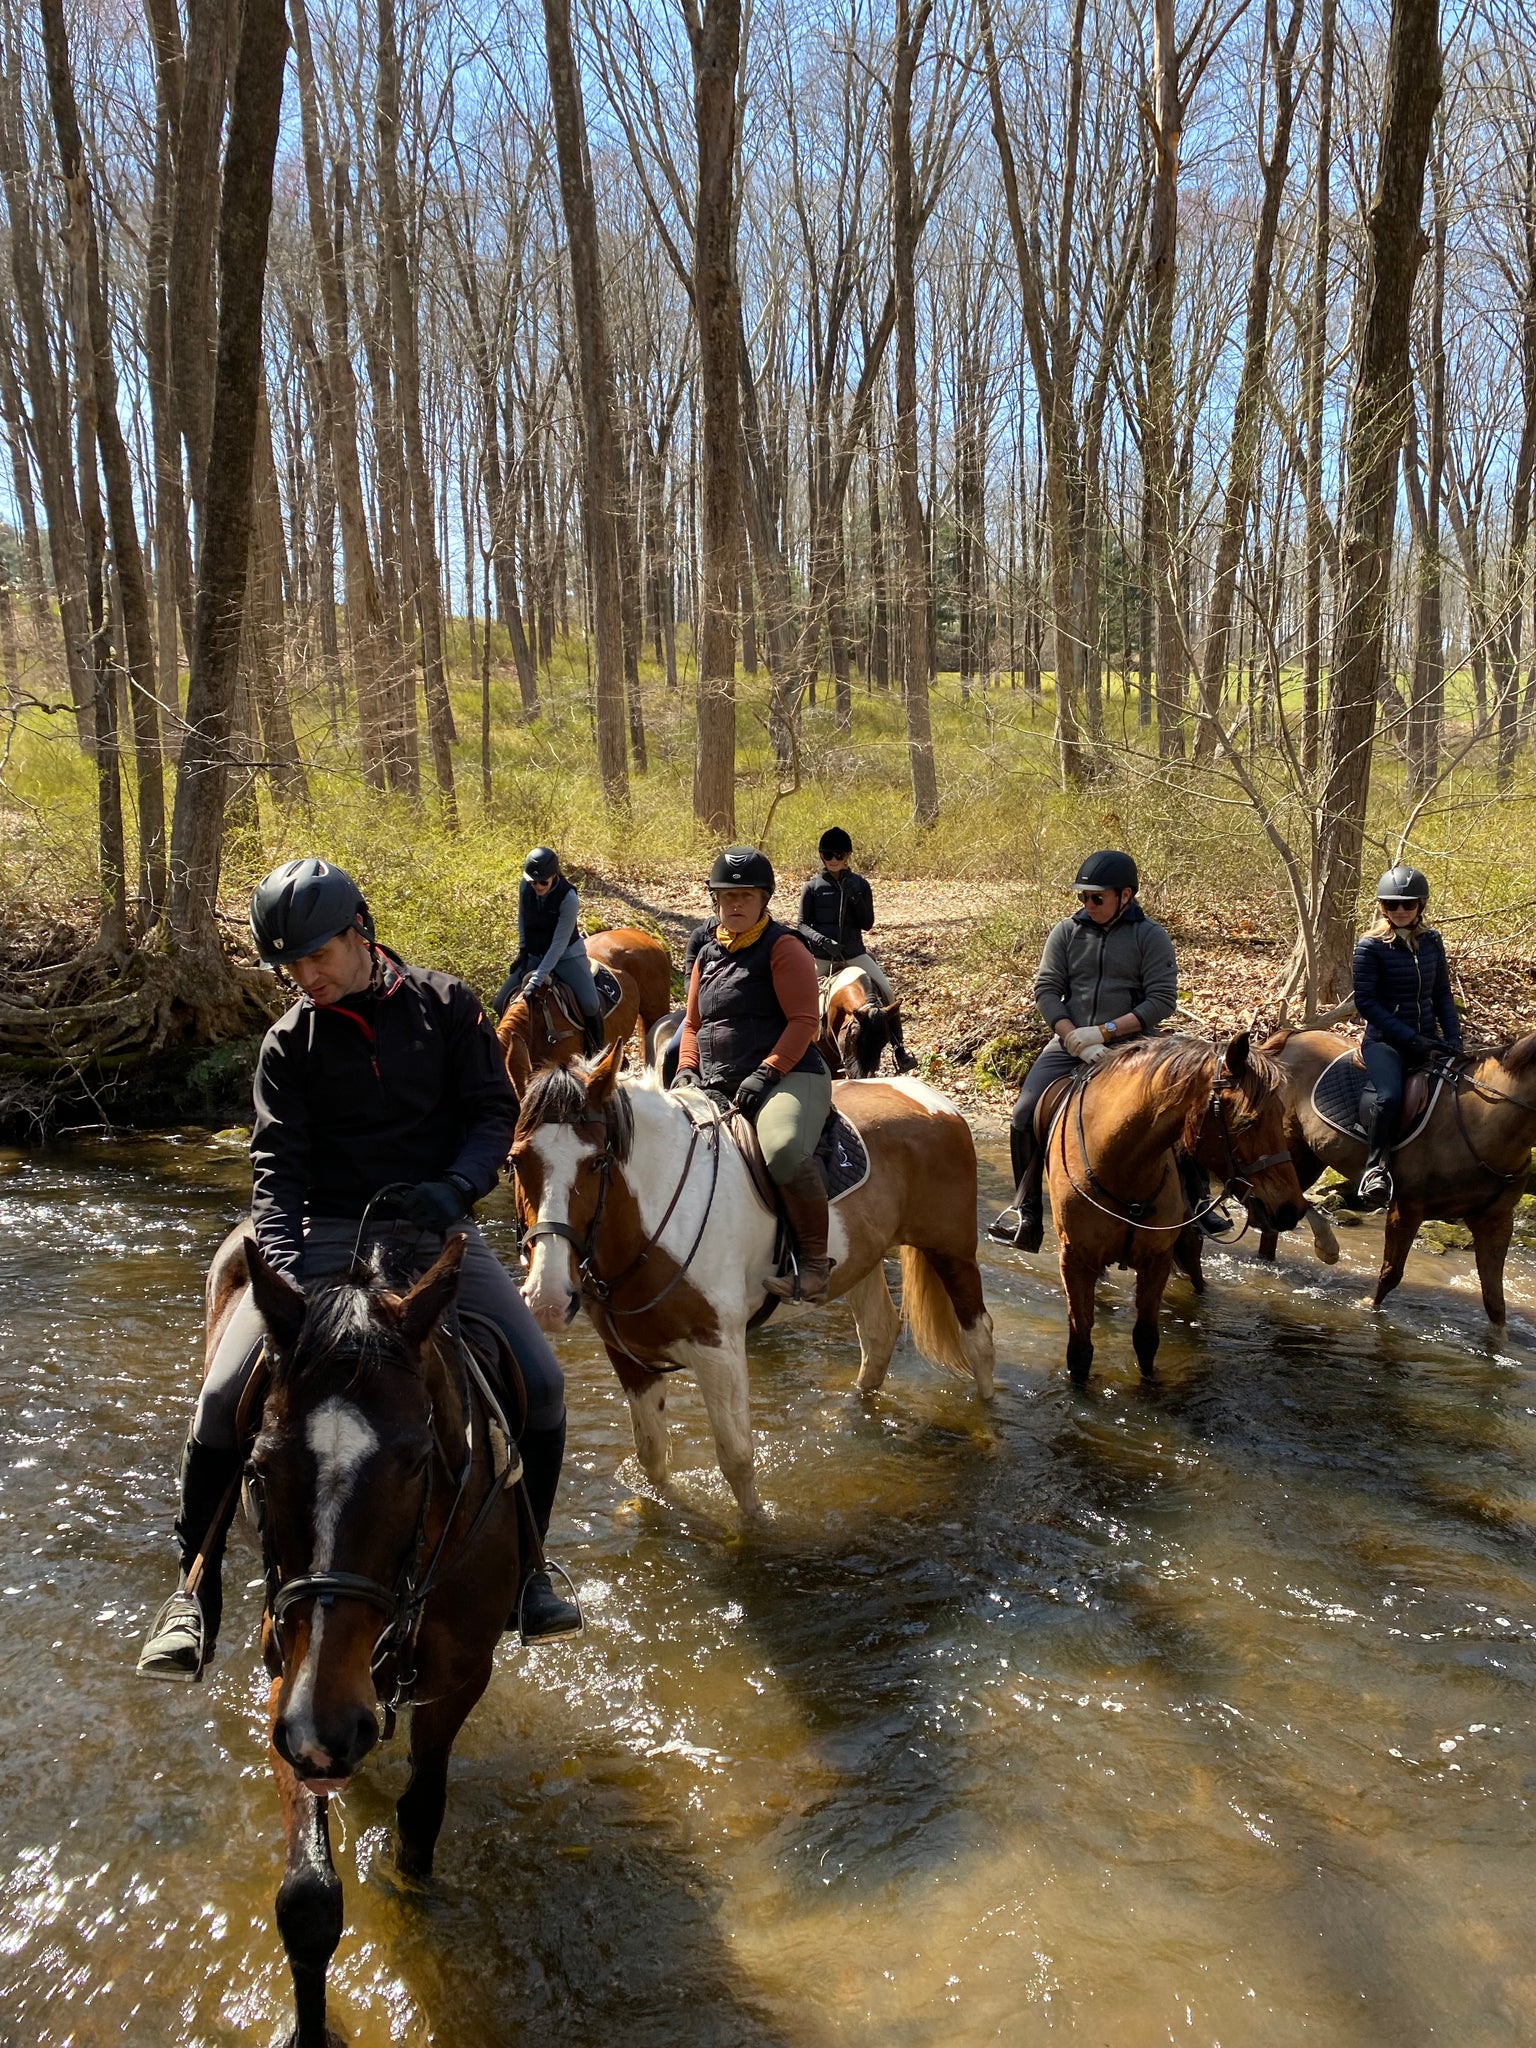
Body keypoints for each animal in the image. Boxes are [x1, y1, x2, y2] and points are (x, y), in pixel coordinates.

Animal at [222, 1228, 528, 2048]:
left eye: (418, 1460)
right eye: (258, 1464)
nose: (330, 1730)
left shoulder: (461, 1676)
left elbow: (420, 1817)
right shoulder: (286, 1682)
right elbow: (306, 1899)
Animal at [512, 1040, 1003, 1523]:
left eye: (598, 1161)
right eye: (517, 1161)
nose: (546, 1299)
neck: (657, 1215)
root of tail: (932, 1100)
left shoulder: (719, 1352)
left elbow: (736, 1458)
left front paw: (755, 1531)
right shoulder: (629, 1358)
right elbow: (652, 1457)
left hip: (951, 1252)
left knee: (979, 1338)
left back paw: (987, 1429)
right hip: (862, 1262)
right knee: (880, 1334)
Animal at [1040, 1032, 1302, 1384]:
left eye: (1280, 1113)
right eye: (1249, 1121)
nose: (1291, 1210)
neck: (1120, 1164)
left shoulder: (1157, 1260)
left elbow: (1146, 1340)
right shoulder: (1076, 1260)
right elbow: (1080, 1350)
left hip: (1189, 1242)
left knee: (1196, 1278)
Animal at [1253, 1024, 1536, 1327]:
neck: (1481, 1118)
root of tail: (1290, 1039)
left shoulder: (1495, 1221)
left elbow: (1495, 1302)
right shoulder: (1407, 1207)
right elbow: (1391, 1273)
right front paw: (1365, 1307)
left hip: (1310, 1157)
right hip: (1288, 1151)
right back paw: (1324, 1247)